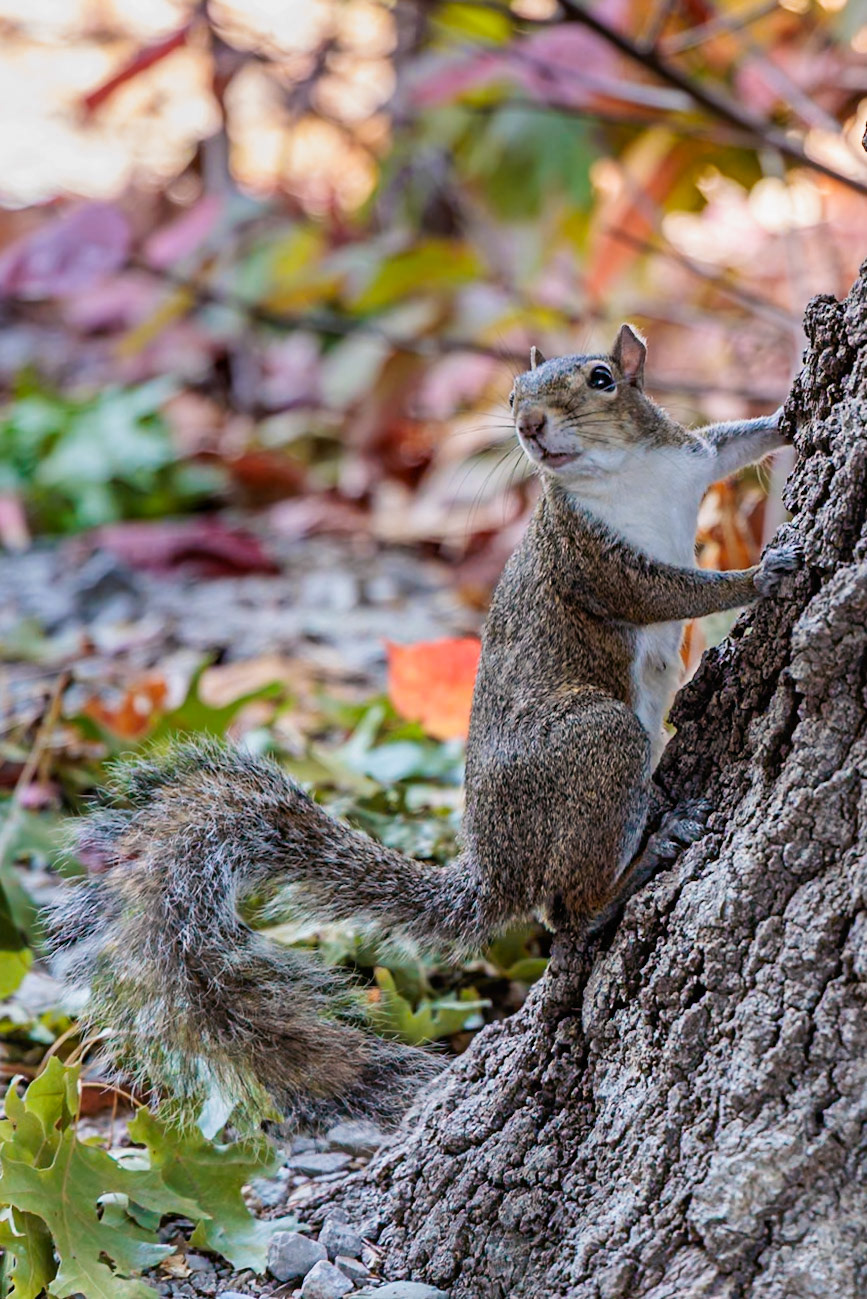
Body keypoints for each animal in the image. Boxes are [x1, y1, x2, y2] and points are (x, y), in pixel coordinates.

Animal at [49, 324, 799, 1131]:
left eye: (603, 378)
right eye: (512, 394)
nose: (530, 426)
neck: (626, 474)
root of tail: (498, 868)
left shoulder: (688, 461)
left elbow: (729, 442)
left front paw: (784, 415)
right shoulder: (595, 560)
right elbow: (675, 592)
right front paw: (759, 574)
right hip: (597, 742)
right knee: (567, 909)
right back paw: (646, 853)